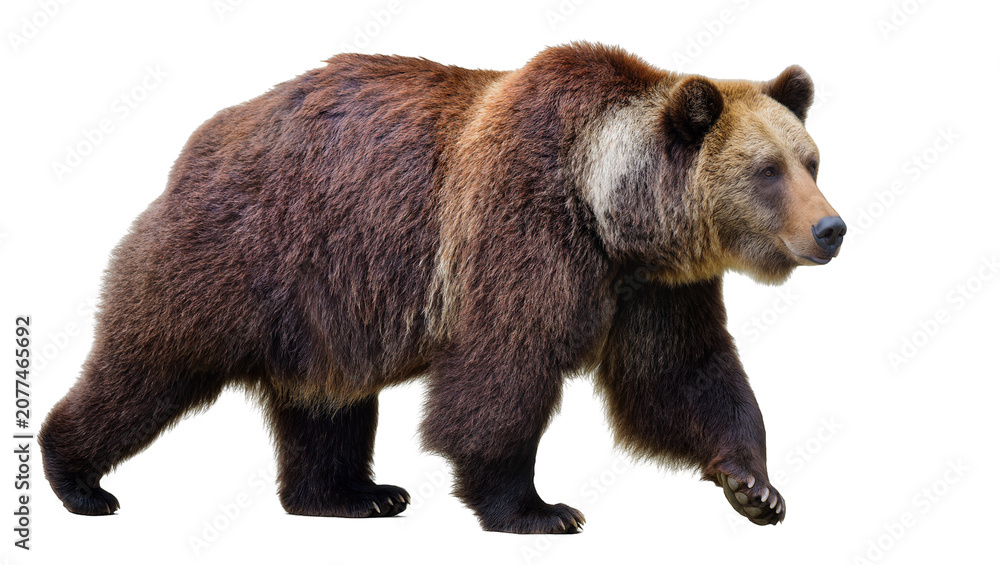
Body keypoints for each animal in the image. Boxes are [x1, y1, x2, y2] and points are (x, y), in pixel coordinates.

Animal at [39, 42, 845, 534]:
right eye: (768, 170)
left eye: (811, 159)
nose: (831, 228)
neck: (610, 213)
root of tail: (204, 137)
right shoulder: (520, 229)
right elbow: (501, 373)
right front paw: (538, 507)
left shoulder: (655, 287)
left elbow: (682, 375)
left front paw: (754, 486)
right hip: (245, 251)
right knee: (149, 362)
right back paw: (77, 478)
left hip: (325, 304)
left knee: (325, 400)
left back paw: (353, 494)